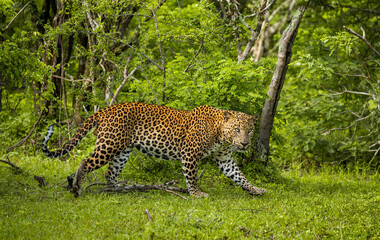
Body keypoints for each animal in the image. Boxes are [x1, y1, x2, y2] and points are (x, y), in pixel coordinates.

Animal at [40, 102, 268, 198]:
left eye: (249, 130)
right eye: (237, 129)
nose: (245, 143)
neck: (221, 135)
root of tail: (108, 108)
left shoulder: (224, 159)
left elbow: (239, 176)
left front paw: (255, 190)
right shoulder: (190, 153)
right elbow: (191, 176)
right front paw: (196, 193)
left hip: (123, 150)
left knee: (110, 172)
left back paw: (118, 189)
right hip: (110, 144)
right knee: (86, 161)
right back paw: (77, 188)